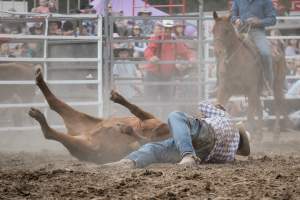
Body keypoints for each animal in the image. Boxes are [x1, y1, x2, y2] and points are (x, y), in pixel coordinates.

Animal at [212, 10, 288, 139]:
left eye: (226, 30)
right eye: (213, 30)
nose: (218, 51)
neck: (235, 63)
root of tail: (278, 47)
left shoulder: (250, 90)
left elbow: (249, 117)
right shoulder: (224, 90)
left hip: (277, 84)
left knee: (278, 104)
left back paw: (276, 134)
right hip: (258, 91)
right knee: (260, 109)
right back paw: (260, 136)